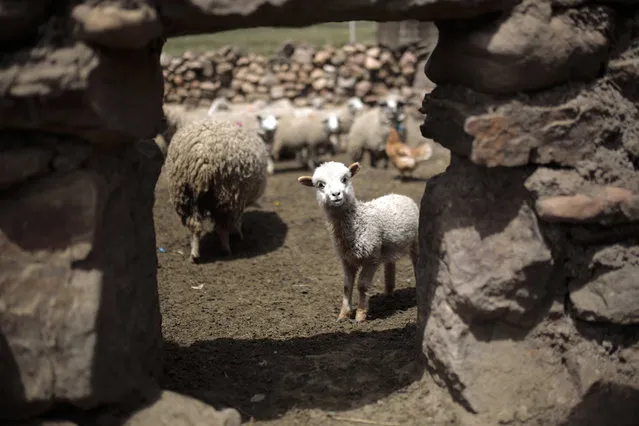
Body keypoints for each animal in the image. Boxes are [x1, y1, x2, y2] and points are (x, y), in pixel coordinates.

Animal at [166, 118, 268, 262]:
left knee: (195, 226)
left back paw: (195, 254)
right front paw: (238, 234)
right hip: (227, 195)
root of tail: (202, 157)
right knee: (222, 227)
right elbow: (238, 220)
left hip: (184, 195)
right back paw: (226, 249)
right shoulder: (239, 200)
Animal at [298, 161, 420, 322]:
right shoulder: (346, 259)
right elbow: (347, 286)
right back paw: (388, 293)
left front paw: (360, 315)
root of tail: (400, 195)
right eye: (320, 185)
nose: (336, 194)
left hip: (415, 242)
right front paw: (343, 315)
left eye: (345, 179)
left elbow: (362, 285)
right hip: (389, 246)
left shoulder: (372, 257)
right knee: (390, 265)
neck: (358, 222)